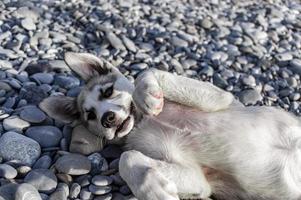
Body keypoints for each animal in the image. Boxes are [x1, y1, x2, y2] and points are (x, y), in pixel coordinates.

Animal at [39, 52, 300, 199]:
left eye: (108, 91)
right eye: (90, 115)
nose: (108, 119)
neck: (144, 122)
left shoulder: (221, 99)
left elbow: (149, 71)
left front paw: (147, 94)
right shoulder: (200, 180)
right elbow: (127, 158)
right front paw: (154, 190)